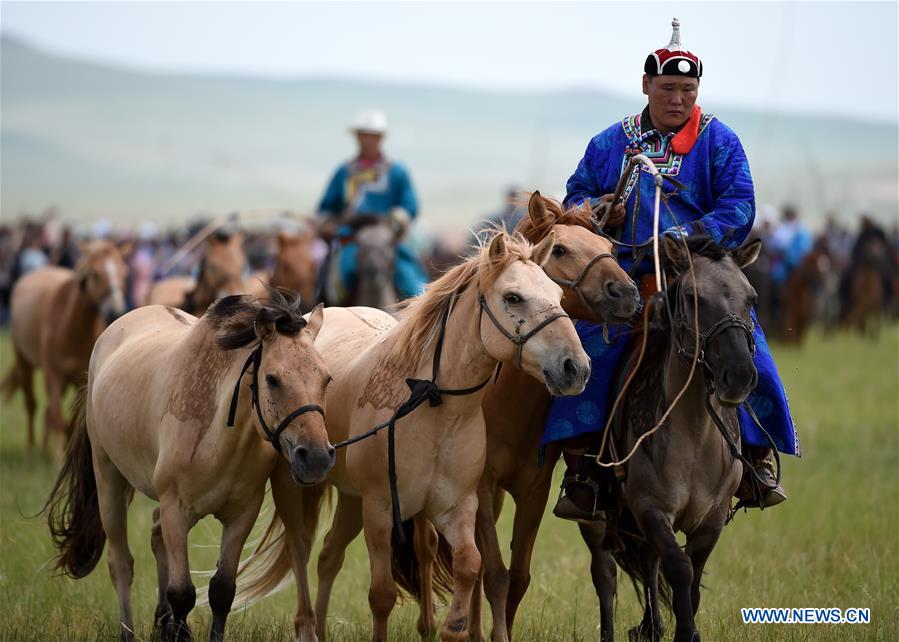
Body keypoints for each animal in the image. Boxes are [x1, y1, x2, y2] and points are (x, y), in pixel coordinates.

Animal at [3, 240, 128, 457]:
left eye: (124, 272)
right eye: (95, 273)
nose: (115, 311)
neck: (70, 325)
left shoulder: (80, 378)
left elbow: (70, 420)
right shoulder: (53, 374)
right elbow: (58, 415)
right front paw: (57, 455)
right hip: (24, 361)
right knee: (32, 404)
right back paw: (32, 447)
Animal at [45, 290, 334, 642]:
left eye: (326, 378)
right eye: (272, 379)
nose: (316, 458)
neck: (218, 433)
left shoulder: (241, 514)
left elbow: (222, 591)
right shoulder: (176, 508)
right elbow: (182, 592)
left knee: (156, 539)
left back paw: (161, 623)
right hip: (108, 480)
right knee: (121, 563)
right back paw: (129, 630)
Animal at [233, 229, 592, 642]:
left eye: (557, 294)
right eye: (513, 297)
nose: (576, 367)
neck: (432, 407)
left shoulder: (457, 506)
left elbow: (469, 564)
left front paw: (454, 625)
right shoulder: (380, 509)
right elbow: (381, 595)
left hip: (351, 498)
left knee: (328, 556)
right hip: (298, 486)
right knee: (300, 548)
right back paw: (307, 624)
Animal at [579, 235, 763, 642]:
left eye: (751, 297)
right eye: (694, 297)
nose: (739, 376)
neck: (695, 436)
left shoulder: (711, 519)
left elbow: (691, 579)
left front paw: (683, 628)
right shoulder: (650, 507)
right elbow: (679, 567)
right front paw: (686, 632)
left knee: (647, 561)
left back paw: (652, 625)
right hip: (595, 519)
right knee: (605, 576)